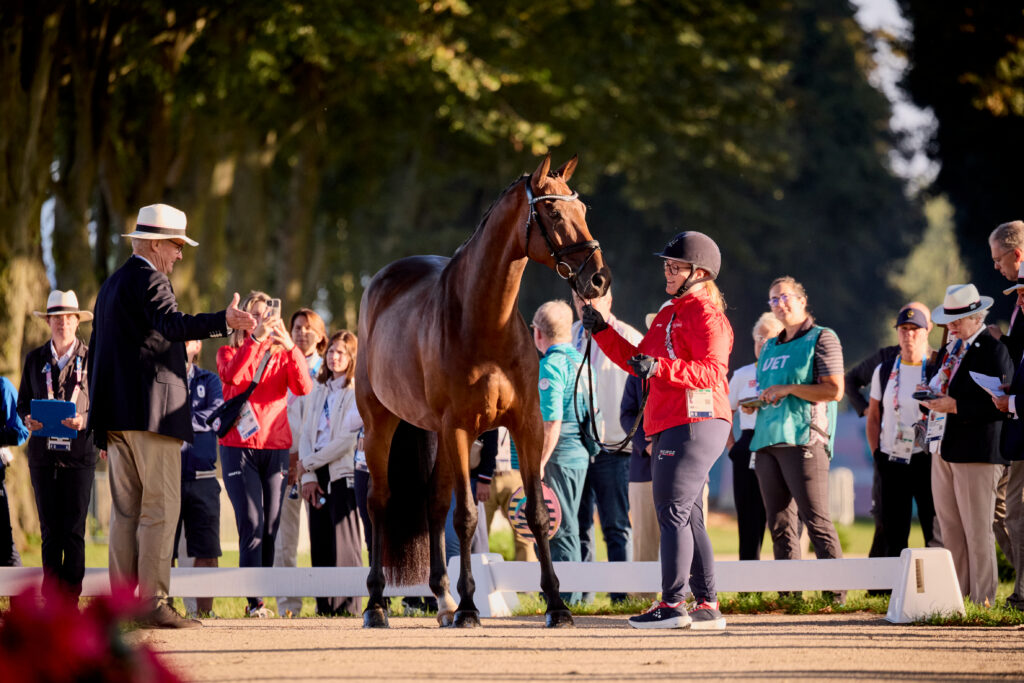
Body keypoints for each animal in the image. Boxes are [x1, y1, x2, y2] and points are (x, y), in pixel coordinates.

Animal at [355, 154, 611, 628]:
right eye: (552, 212)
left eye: (583, 210)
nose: (599, 279)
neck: (484, 322)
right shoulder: (460, 429)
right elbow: (467, 518)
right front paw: (471, 607)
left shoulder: (527, 426)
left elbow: (535, 513)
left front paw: (557, 604)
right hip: (382, 423)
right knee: (380, 501)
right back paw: (377, 605)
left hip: (433, 433)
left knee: (433, 503)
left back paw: (442, 599)